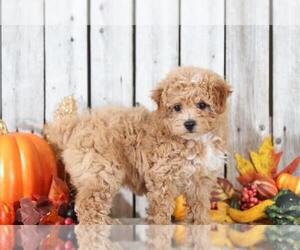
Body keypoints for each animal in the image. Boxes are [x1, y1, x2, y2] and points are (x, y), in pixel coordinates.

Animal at [44, 66, 231, 225]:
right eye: (177, 107)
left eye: (202, 105)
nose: (189, 123)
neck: (194, 141)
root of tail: (76, 125)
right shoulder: (161, 176)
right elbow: (161, 210)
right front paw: (161, 228)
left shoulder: (200, 181)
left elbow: (199, 207)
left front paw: (201, 224)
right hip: (100, 171)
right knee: (88, 206)